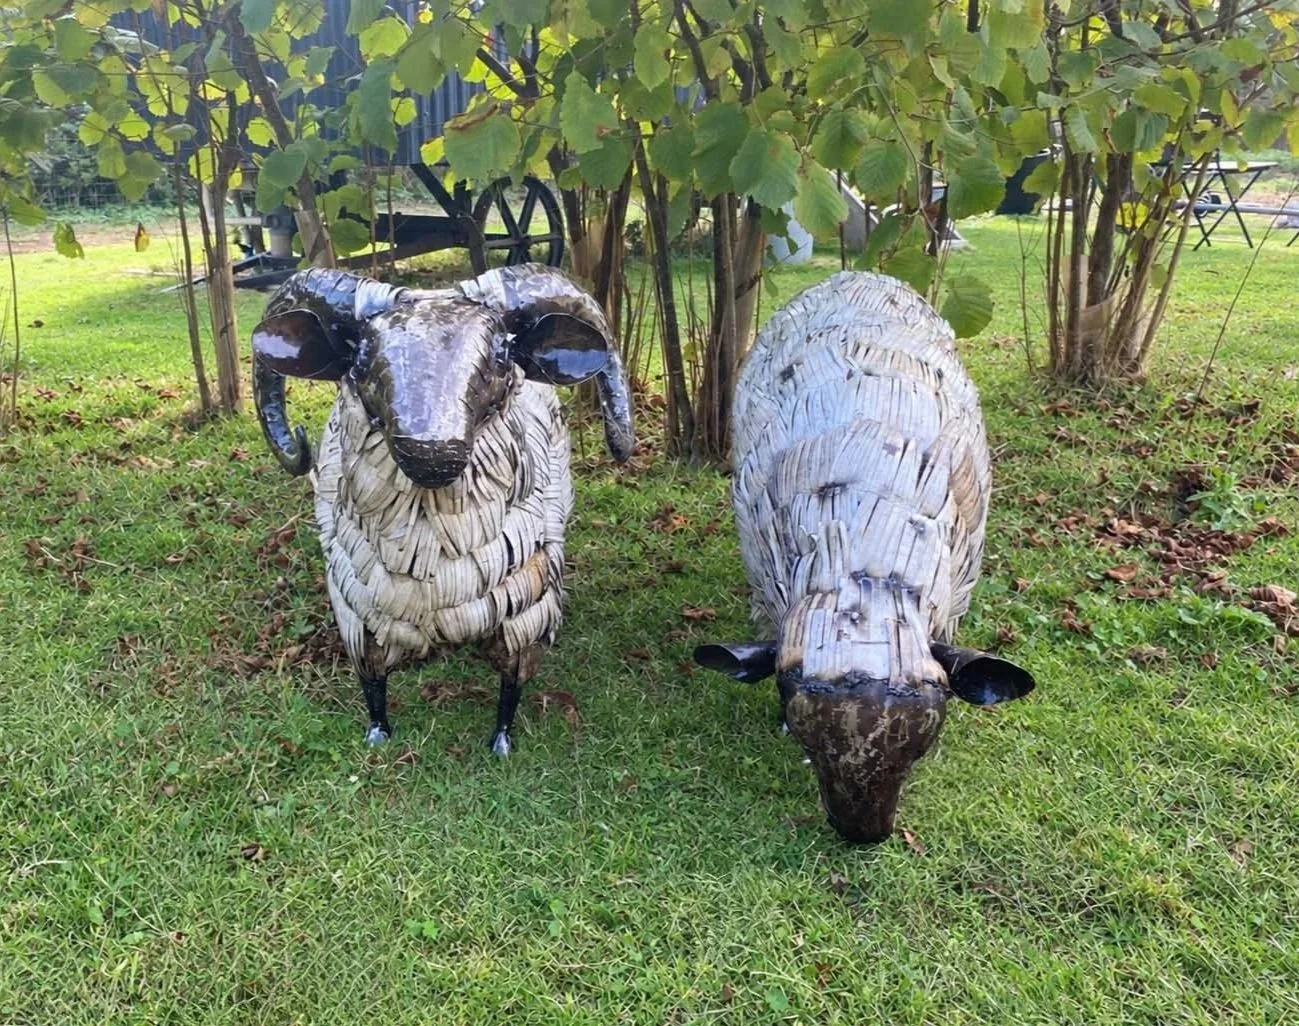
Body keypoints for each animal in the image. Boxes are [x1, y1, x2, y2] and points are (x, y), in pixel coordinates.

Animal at [251, 263, 634, 754]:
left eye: (502, 353)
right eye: (359, 358)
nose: (432, 453)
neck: (435, 559)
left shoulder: (527, 613)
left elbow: (511, 688)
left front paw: (501, 746)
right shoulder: (357, 614)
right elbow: (373, 686)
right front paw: (378, 736)